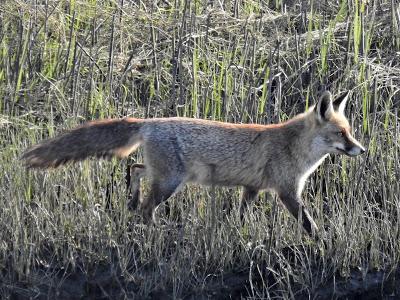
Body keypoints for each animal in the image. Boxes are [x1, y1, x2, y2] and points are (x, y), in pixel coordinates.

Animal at [21, 91, 366, 237]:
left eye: (349, 131)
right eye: (341, 133)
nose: (361, 149)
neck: (295, 148)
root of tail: (150, 122)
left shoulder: (252, 188)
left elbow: (240, 214)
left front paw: (234, 232)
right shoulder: (287, 192)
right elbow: (308, 223)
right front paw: (322, 243)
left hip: (166, 176)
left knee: (134, 169)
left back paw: (131, 198)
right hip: (170, 183)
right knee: (146, 208)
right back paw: (153, 231)